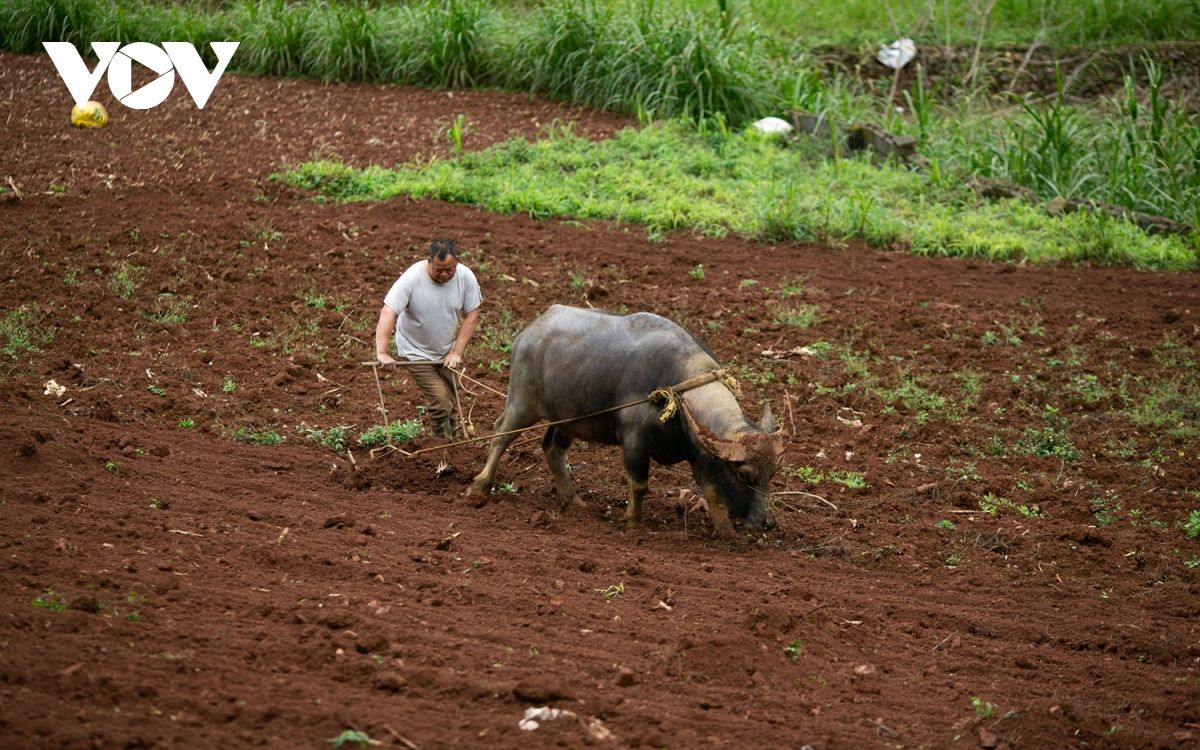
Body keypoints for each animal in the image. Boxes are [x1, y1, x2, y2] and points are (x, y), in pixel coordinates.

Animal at [460, 301, 787, 535]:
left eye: (772, 473)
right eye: (744, 474)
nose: (766, 522)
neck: (678, 386)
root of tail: (529, 333)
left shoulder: (698, 454)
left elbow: (711, 491)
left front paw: (724, 530)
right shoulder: (634, 441)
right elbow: (639, 484)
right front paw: (632, 522)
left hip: (566, 419)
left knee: (552, 449)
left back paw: (574, 501)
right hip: (522, 403)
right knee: (500, 435)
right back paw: (480, 486)